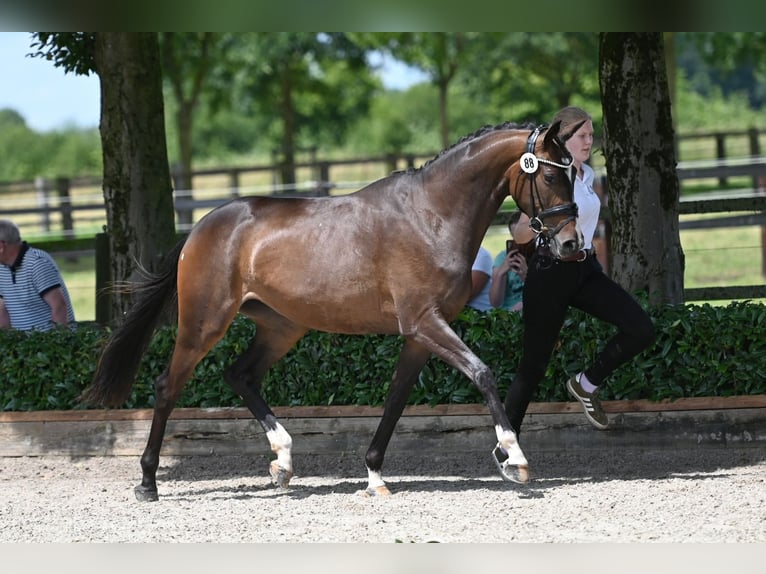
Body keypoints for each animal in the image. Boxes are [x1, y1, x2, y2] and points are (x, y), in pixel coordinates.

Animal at [81, 121, 584, 504]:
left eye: (574, 172)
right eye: (550, 177)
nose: (570, 245)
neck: (431, 216)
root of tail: (201, 227)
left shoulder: (419, 333)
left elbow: (396, 399)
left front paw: (375, 477)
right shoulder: (424, 321)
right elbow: (483, 373)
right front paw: (513, 458)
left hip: (281, 327)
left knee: (240, 375)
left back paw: (283, 462)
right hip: (204, 324)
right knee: (168, 386)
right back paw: (148, 482)